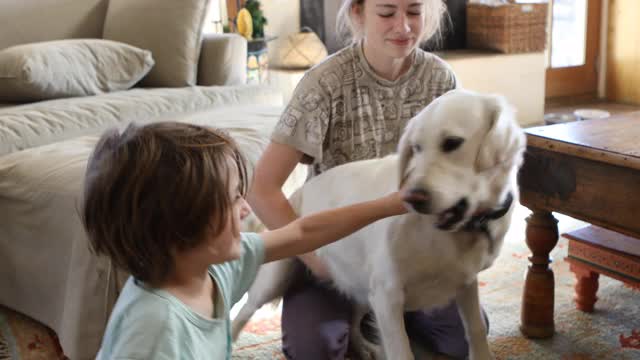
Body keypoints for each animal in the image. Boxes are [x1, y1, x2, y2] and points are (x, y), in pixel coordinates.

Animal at [234, 89, 524, 360]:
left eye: (452, 143)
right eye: (416, 148)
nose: (412, 198)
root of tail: (297, 193)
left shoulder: (465, 282)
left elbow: (475, 329)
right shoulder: (387, 295)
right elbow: (401, 351)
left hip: (361, 283)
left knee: (354, 317)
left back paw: (362, 347)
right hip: (274, 279)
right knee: (243, 312)